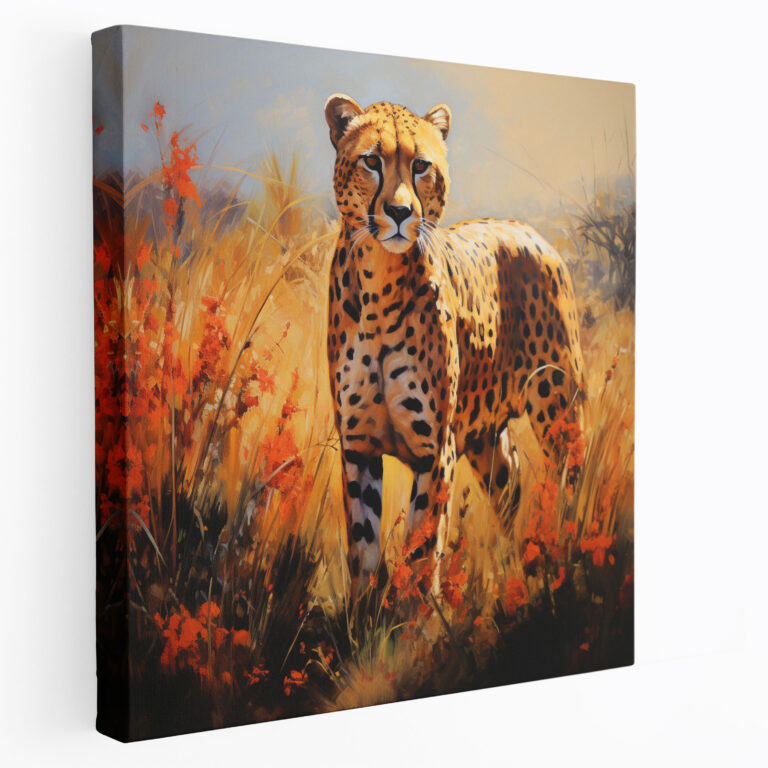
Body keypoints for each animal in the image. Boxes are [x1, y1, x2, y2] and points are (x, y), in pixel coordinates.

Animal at [324, 94, 586, 598]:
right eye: (372, 161)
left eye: (421, 165)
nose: (400, 212)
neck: (380, 283)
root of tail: (528, 230)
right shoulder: (359, 447)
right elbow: (363, 551)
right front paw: (363, 615)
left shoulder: (435, 451)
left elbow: (422, 550)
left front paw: (414, 617)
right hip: (487, 439)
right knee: (511, 485)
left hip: (559, 413)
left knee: (570, 486)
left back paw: (564, 557)